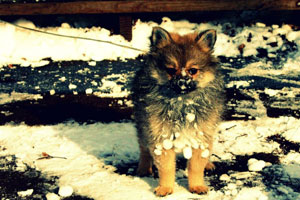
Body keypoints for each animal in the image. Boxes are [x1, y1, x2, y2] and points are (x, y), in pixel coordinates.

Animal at [132, 25, 224, 196]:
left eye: (192, 71)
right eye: (170, 70)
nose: (182, 81)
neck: (181, 102)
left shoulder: (200, 135)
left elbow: (196, 166)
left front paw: (197, 186)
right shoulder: (161, 137)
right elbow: (167, 167)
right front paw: (165, 188)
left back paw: (208, 163)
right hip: (143, 126)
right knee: (143, 148)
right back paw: (144, 168)